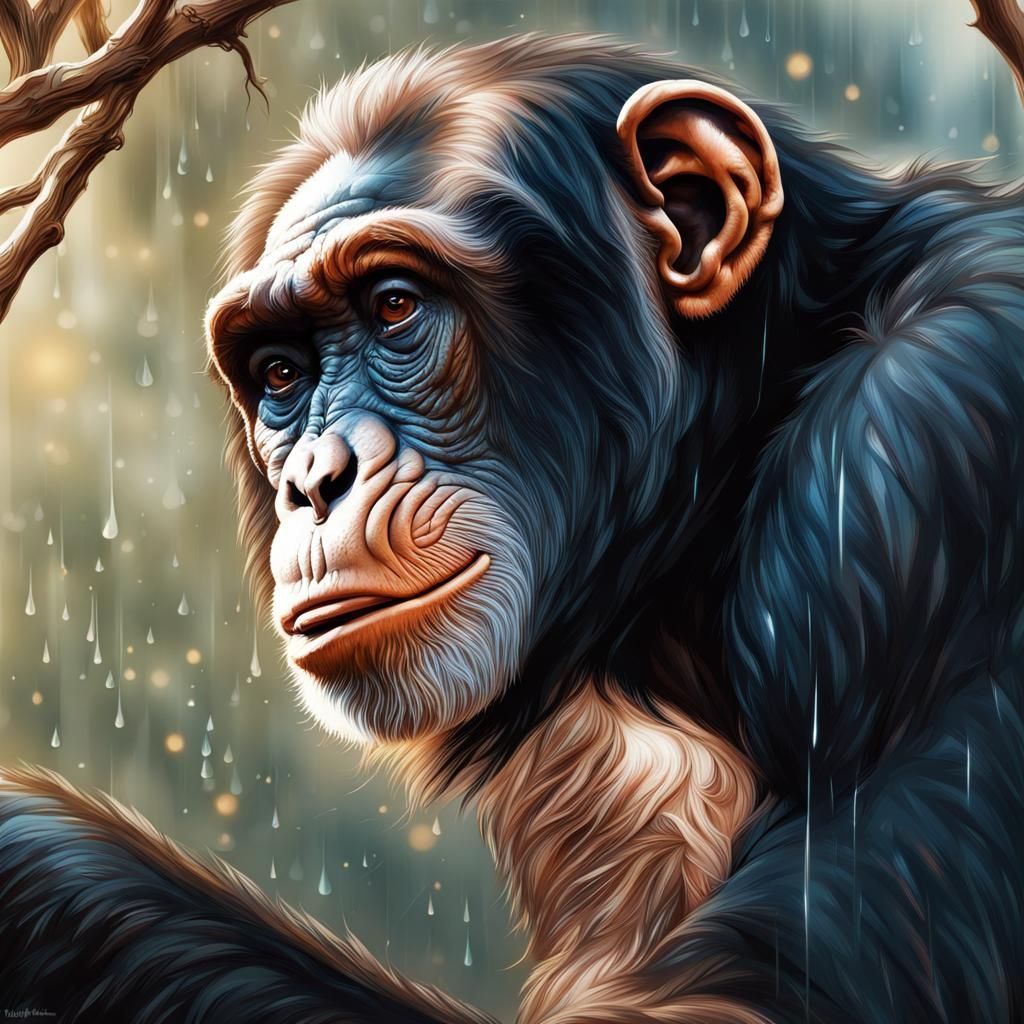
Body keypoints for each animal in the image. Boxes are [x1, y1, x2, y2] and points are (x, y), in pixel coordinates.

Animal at [1, 32, 1022, 1024]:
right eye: (281, 372)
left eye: (395, 306)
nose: (313, 480)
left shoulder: (923, 453)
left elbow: (732, 997)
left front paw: (34, 863)